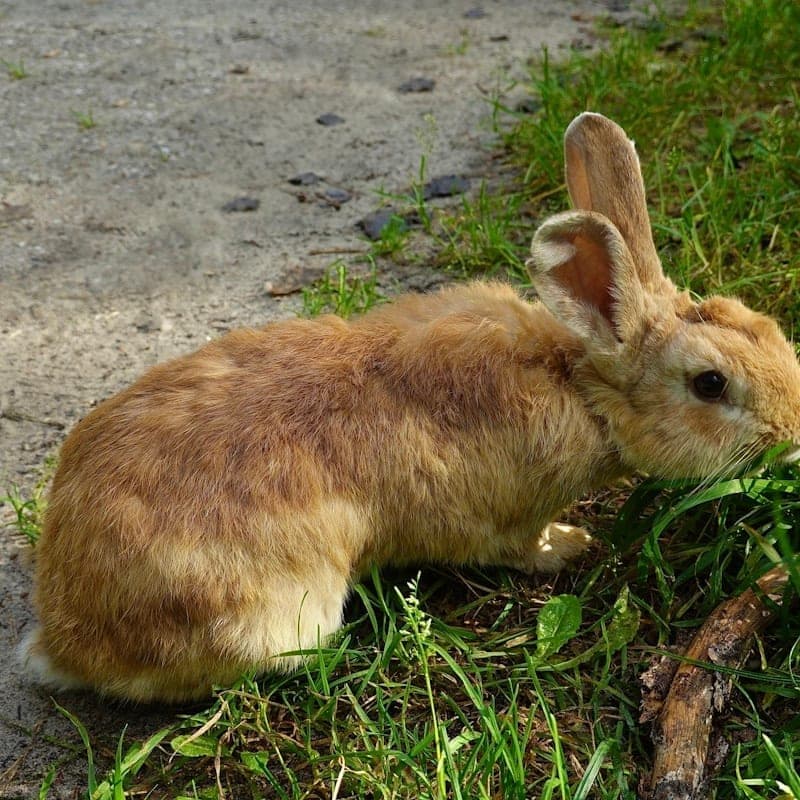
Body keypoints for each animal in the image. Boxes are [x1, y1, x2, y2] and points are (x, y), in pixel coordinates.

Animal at [20, 112, 800, 703]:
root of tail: (65, 636)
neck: (579, 383)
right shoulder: (503, 518)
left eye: (755, 320)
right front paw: (572, 546)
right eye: (710, 384)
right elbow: (519, 546)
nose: (790, 432)